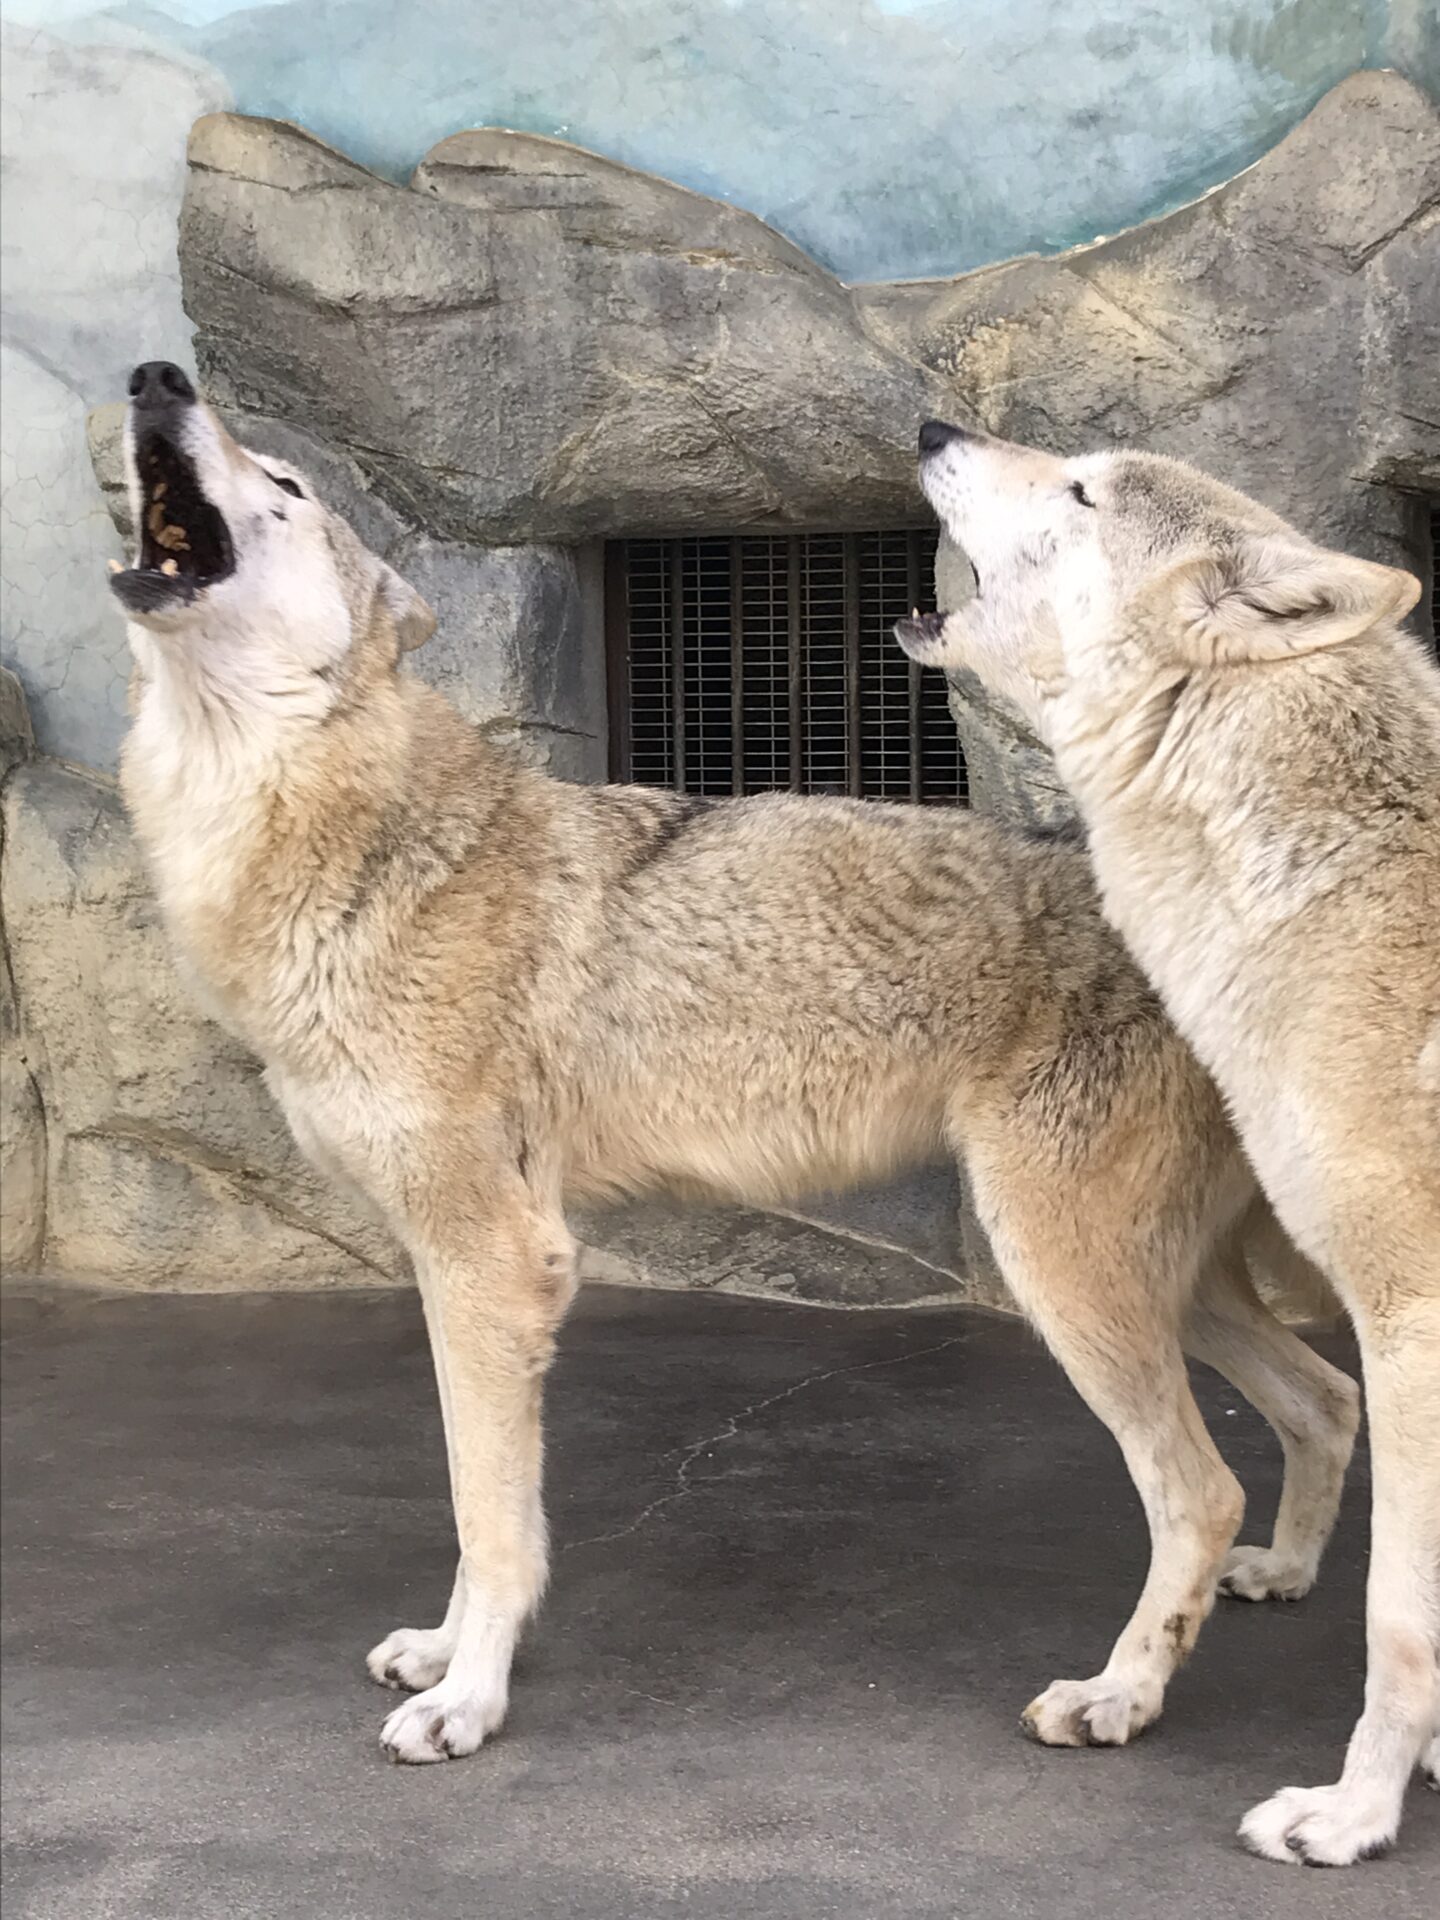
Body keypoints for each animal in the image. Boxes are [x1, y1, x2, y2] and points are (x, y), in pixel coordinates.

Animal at [112, 362, 1367, 1812]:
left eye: (285, 481)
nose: (157, 378)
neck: (333, 844)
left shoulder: (497, 1262)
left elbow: (491, 1514)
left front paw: (470, 1702)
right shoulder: (457, 1262)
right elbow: (483, 1509)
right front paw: (442, 1654)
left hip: (1066, 1277)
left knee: (1202, 1487)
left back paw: (1120, 1697)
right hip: (1163, 1286)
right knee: (1324, 1402)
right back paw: (1280, 1577)